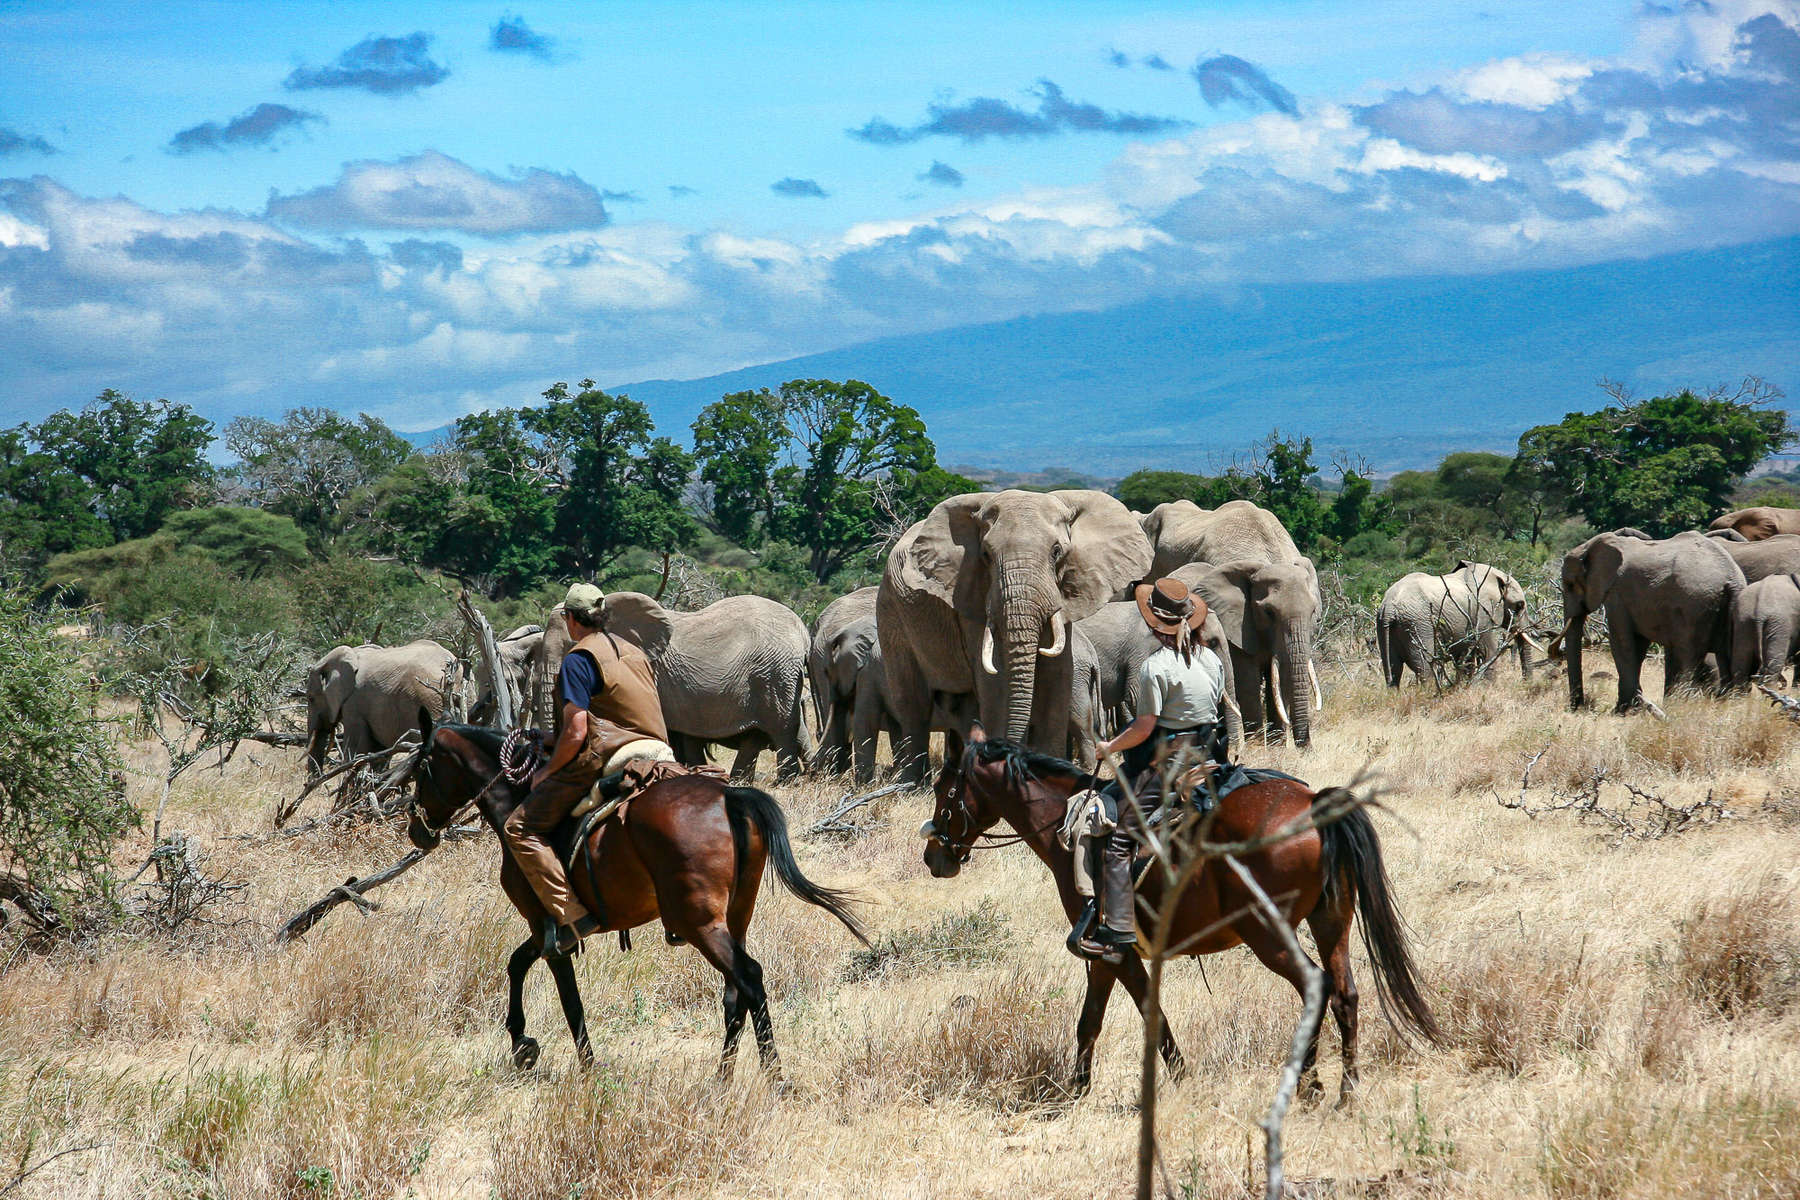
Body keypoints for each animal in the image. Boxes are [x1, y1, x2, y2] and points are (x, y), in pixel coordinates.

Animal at [405, 712, 867, 1079]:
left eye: (422, 765)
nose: (416, 829)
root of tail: (728, 796)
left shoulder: (548, 930)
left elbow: (568, 1001)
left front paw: (582, 1067)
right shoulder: (552, 931)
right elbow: (517, 964)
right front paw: (523, 1045)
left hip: (699, 924)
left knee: (749, 979)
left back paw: (775, 1080)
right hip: (734, 918)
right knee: (734, 992)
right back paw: (722, 1079)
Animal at [874, 489, 1152, 788]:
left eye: (1057, 552)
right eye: (985, 554)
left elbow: (1057, 677)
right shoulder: (970, 594)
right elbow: (997, 681)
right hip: (891, 613)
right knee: (912, 704)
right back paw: (912, 784)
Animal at [921, 726, 1440, 1101]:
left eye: (944, 790)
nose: (934, 857)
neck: (1071, 826)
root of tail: (1314, 805)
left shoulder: (1111, 953)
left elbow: (1127, 1016)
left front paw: (1145, 1080)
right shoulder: (1112, 956)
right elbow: (1096, 1018)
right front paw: (1081, 1086)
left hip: (1269, 935)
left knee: (1317, 985)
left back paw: (1308, 1086)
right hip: (1332, 923)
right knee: (1345, 994)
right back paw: (1347, 1092)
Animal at [1382, 561, 1526, 683]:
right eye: (1520, 605)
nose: (1526, 682)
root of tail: (1389, 606)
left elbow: (1467, 657)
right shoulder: (1482, 614)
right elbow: (1489, 651)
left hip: (1385, 626)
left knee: (1393, 670)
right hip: (1417, 624)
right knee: (1425, 667)